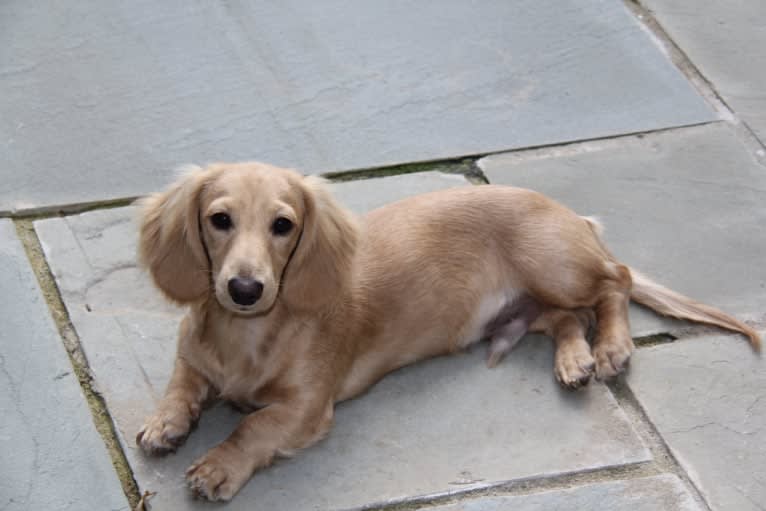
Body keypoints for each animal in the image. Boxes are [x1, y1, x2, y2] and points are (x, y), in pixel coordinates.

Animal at [134, 162, 760, 502]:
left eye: (283, 226)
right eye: (219, 220)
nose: (244, 289)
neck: (245, 337)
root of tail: (576, 218)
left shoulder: (306, 409)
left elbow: (253, 428)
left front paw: (218, 465)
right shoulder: (192, 358)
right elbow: (181, 385)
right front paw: (165, 423)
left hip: (555, 266)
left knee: (616, 283)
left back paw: (610, 347)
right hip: (532, 304)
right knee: (566, 319)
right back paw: (573, 361)